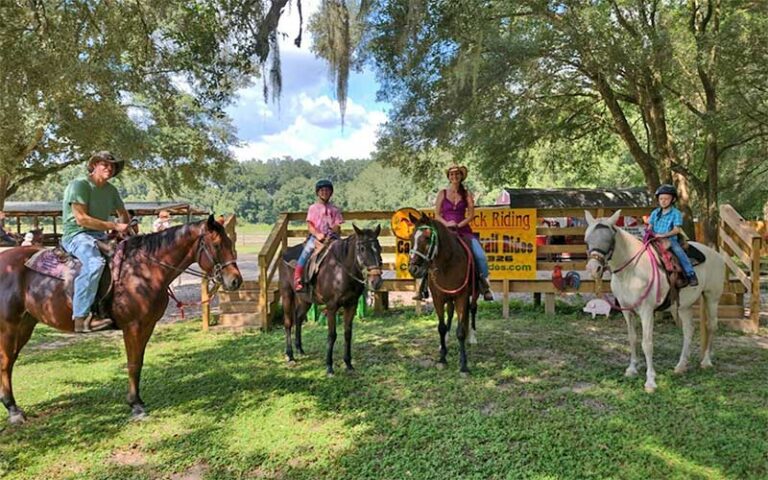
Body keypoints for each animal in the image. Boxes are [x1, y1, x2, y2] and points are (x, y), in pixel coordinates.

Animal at [0, 216, 240, 422]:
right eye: (217, 245)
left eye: (230, 242)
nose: (236, 281)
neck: (144, 270)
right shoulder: (132, 326)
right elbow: (132, 363)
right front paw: (136, 406)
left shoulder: (147, 325)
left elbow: (139, 362)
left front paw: (138, 401)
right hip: (8, 326)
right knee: (5, 362)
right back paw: (13, 410)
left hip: (25, 324)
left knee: (10, 361)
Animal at [278, 223, 382, 376]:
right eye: (362, 249)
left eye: (379, 248)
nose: (376, 282)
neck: (340, 271)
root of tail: (284, 254)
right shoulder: (332, 307)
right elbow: (332, 335)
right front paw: (329, 367)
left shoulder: (351, 305)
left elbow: (347, 333)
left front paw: (348, 364)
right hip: (286, 293)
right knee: (288, 323)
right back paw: (290, 355)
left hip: (305, 300)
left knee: (298, 318)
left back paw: (300, 349)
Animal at [404, 214, 476, 376]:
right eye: (411, 237)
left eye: (427, 237)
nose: (413, 269)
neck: (447, 264)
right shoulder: (438, 298)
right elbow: (441, 327)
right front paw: (442, 358)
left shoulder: (461, 297)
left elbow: (460, 331)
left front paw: (464, 365)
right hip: (448, 298)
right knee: (450, 312)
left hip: (473, 295)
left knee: (473, 309)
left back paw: (472, 337)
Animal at [588, 208, 728, 392]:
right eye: (588, 239)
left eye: (608, 239)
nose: (593, 268)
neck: (632, 270)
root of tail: (717, 256)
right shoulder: (627, 311)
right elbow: (632, 338)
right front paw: (631, 369)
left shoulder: (646, 311)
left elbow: (647, 343)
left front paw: (650, 381)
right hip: (684, 306)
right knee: (688, 331)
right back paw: (681, 365)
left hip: (712, 297)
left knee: (711, 326)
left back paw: (706, 361)